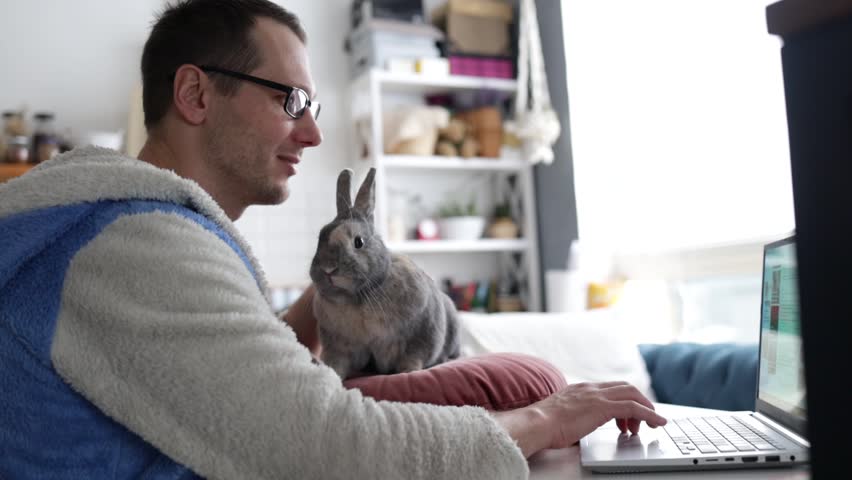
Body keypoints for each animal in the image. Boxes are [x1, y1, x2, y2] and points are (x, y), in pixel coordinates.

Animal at [310, 167, 460, 380]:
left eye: (358, 242)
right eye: (320, 236)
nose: (328, 269)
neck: (358, 298)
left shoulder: (423, 333)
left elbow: (414, 356)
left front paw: (408, 371)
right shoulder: (338, 346)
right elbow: (337, 363)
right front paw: (331, 374)